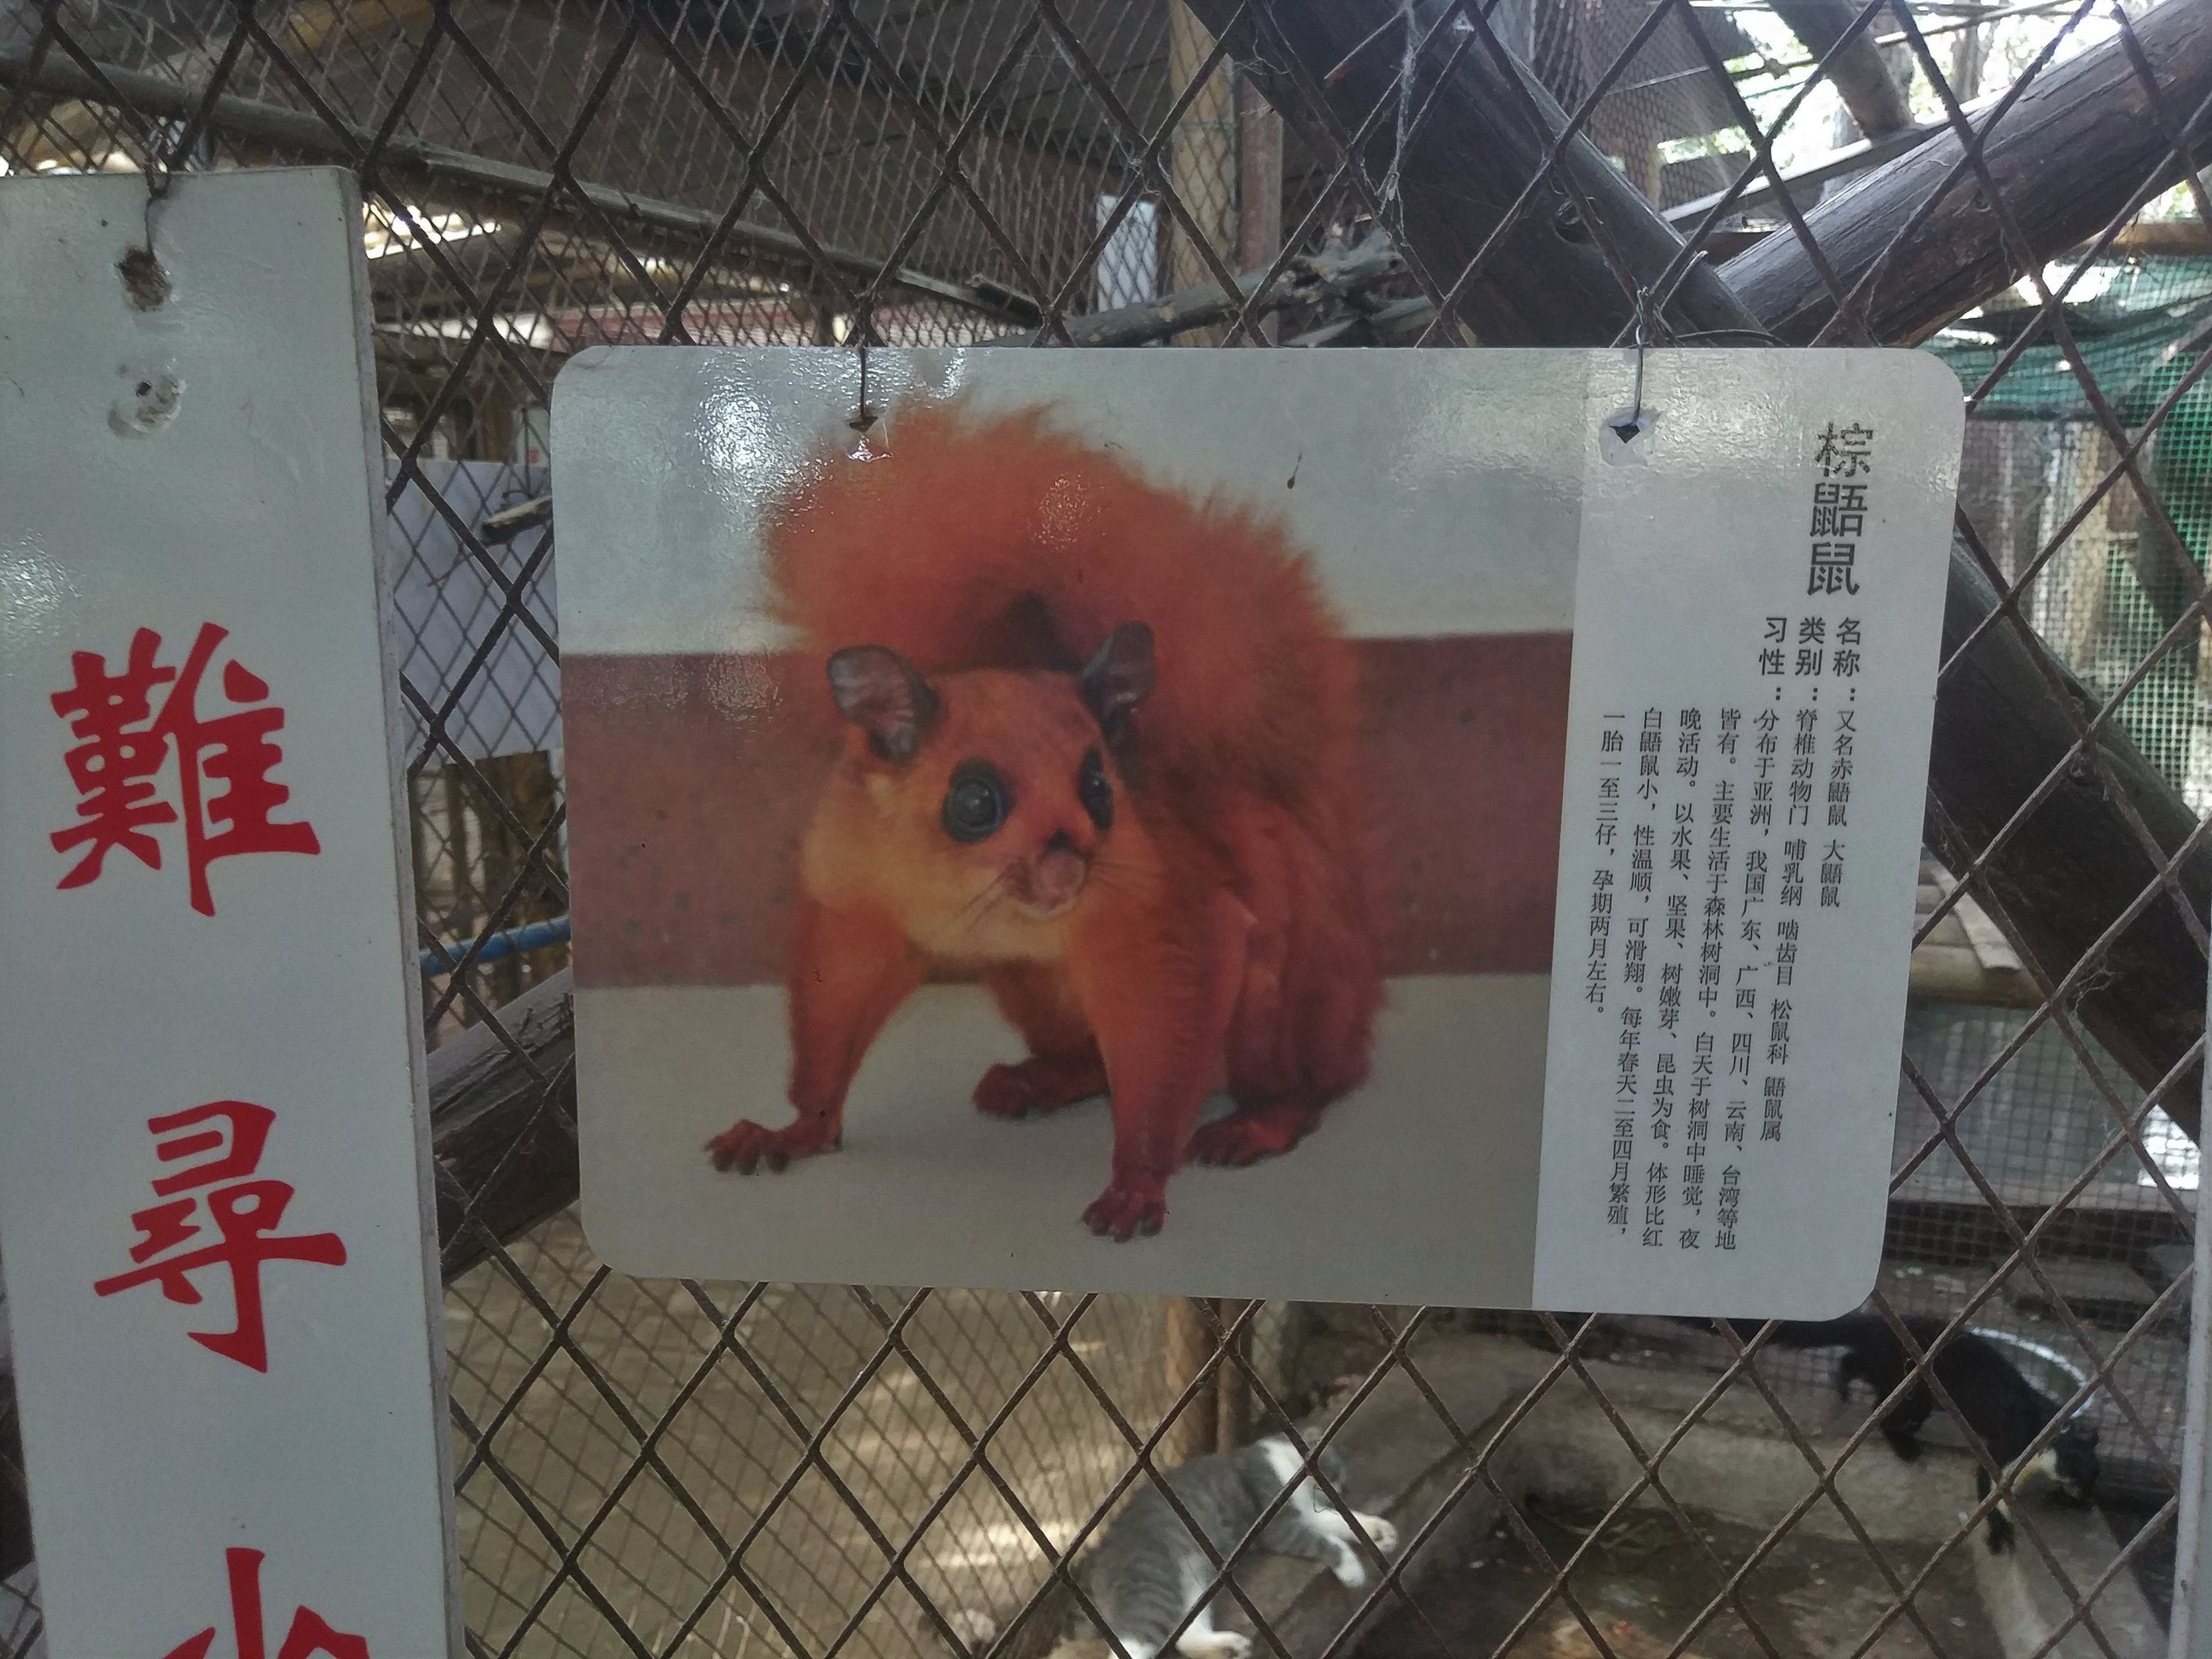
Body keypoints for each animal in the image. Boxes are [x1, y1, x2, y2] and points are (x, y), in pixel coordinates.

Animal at [704, 399, 1383, 1240]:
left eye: (1100, 786)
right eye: (974, 802)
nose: (1067, 865)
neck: (985, 894)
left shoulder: (1167, 923)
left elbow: (1169, 1035)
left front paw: (1136, 1184)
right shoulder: (860, 899)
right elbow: (840, 1002)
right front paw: (795, 1129)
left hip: (1282, 1002)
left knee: (1308, 1080)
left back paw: (1261, 1119)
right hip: (1033, 990)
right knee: (1094, 1059)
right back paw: (1045, 1079)